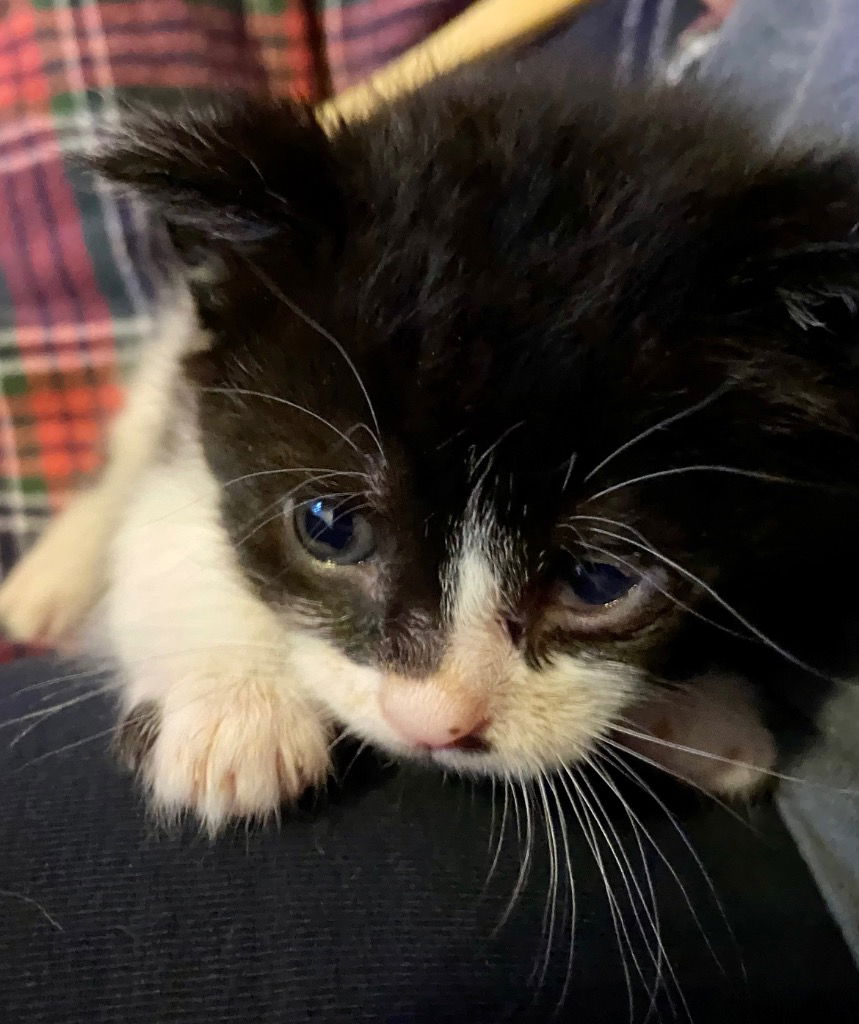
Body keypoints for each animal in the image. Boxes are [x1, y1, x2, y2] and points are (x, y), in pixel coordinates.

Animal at [1, 66, 859, 831]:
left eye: (597, 580)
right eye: (330, 526)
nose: (433, 721)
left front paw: (707, 713)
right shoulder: (198, 402)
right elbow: (168, 519)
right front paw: (232, 707)